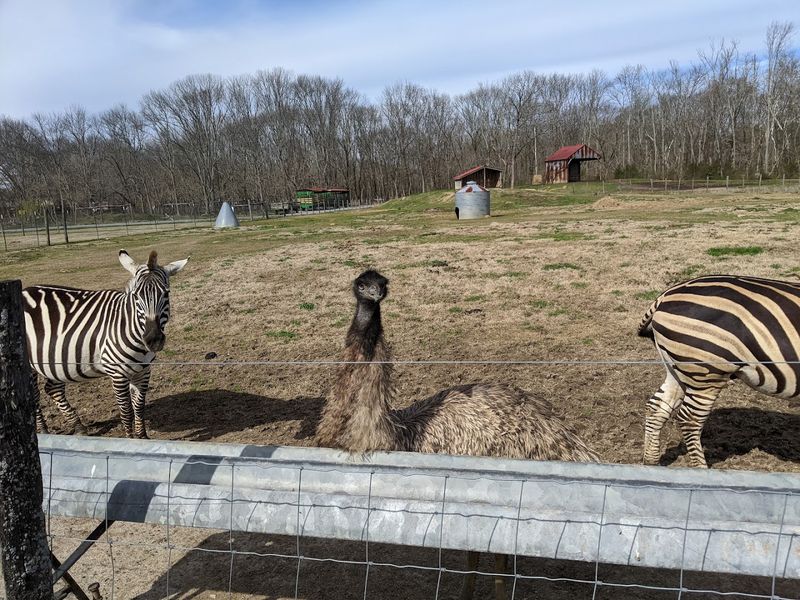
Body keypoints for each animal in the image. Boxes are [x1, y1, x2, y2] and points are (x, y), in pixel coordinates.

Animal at [23, 249, 188, 438]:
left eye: (166, 293)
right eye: (136, 296)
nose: (153, 340)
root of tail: (24, 290)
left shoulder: (143, 371)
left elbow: (139, 407)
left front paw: (143, 438)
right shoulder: (117, 373)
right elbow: (126, 411)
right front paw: (131, 440)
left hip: (53, 360)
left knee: (53, 389)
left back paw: (78, 427)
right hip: (29, 364)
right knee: (34, 395)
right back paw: (42, 429)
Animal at [638, 274, 800, 468]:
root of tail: (664, 296)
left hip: (677, 368)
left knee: (657, 407)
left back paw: (651, 463)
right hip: (707, 371)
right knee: (690, 419)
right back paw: (702, 471)